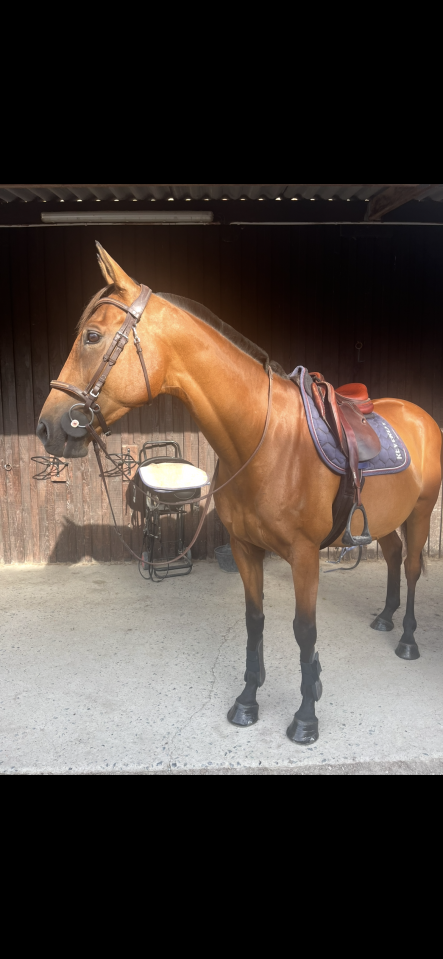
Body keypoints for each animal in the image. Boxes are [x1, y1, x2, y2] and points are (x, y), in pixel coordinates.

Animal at [36, 243, 443, 745]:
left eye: (92, 337)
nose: (47, 427)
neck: (263, 442)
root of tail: (420, 415)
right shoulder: (247, 549)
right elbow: (255, 622)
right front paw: (248, 701)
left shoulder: (304, 556)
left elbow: (304, 631)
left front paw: (306, 717)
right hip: (385, 518)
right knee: (391, 557)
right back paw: (385, 618)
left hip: (420, 513)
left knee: (411, 568)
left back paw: (406, 639)